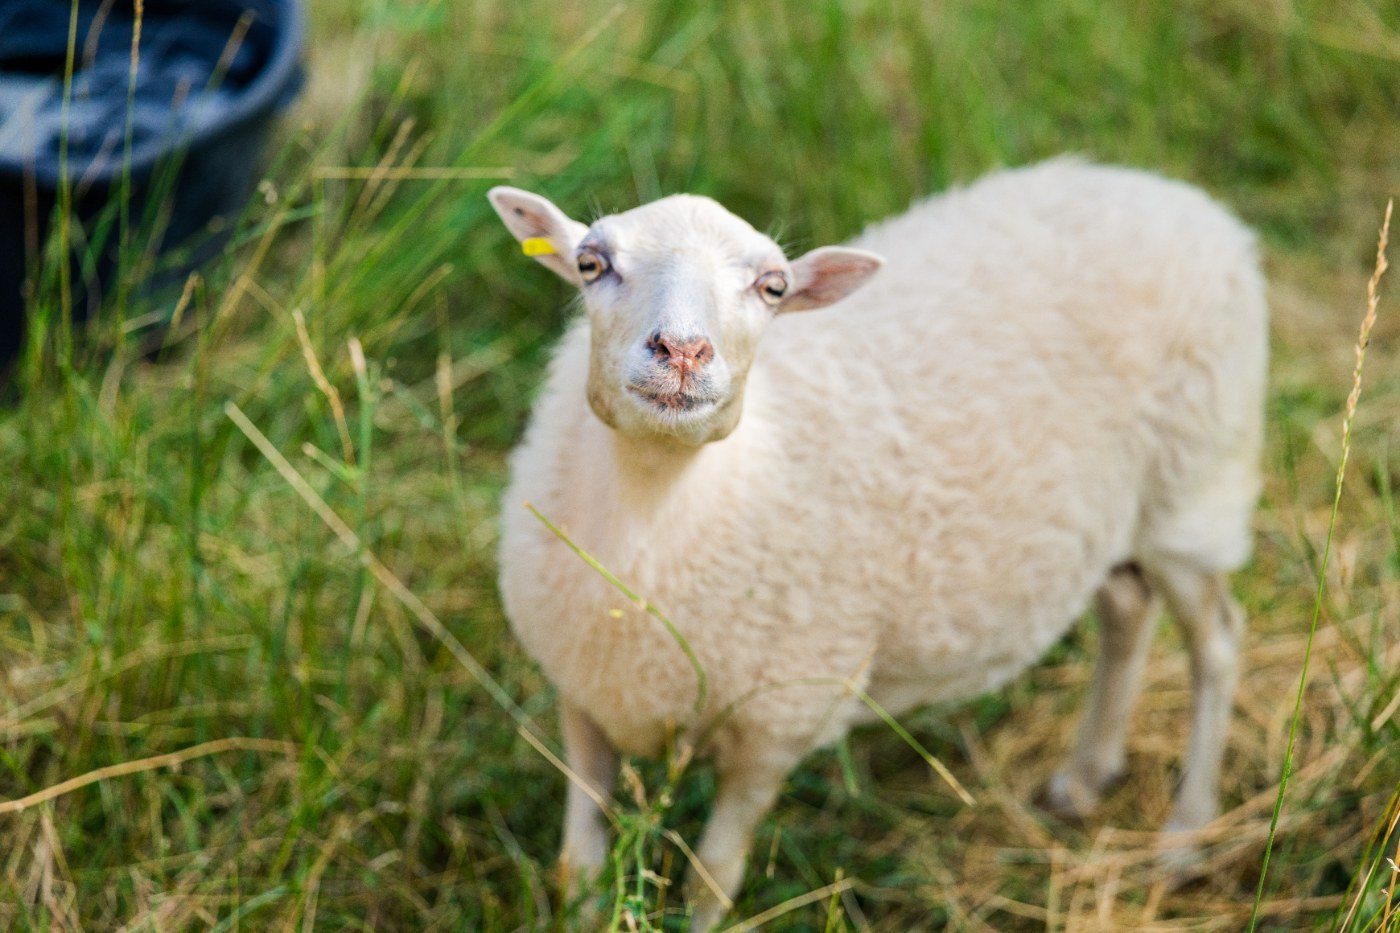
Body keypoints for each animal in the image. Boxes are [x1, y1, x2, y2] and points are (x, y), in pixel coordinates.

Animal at [487, 157, 1267, 930]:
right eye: (591, 263)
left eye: (773, 287)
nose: (682, 350)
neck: (658, 508)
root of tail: (1169, 191)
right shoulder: (583, 694)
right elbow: (580, 869)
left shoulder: (778, 724)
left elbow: (714, 879)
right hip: (1116, 516)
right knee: (1128, 609)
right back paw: (1084, 777)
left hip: (1193, 490)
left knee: (1219, 642)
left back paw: (1185, 836)